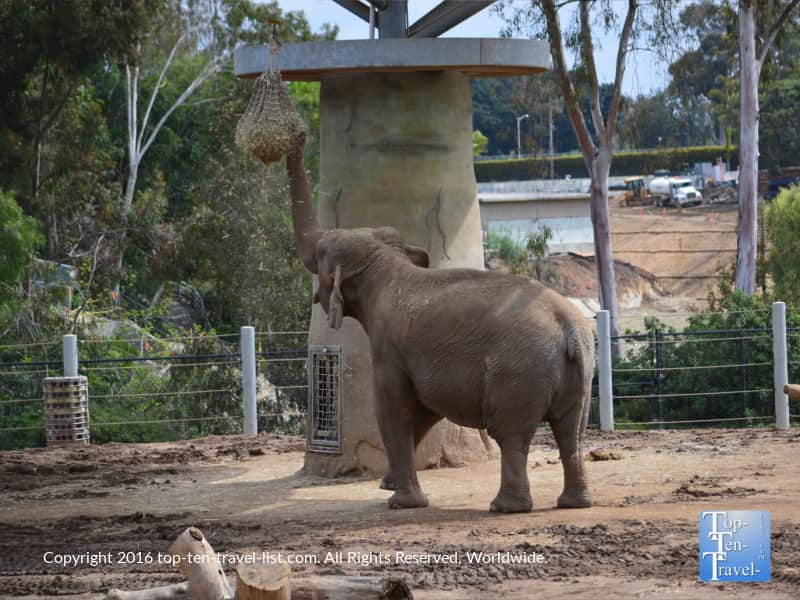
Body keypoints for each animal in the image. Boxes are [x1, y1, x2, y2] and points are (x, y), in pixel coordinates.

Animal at [285, 137, 595, 513]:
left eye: (320, 257)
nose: (296, 135)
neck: (386, 264)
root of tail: (569, 327)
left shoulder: (389, 346)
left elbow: (394, 409)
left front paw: (402, 502)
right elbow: (427, 408)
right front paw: (389, 485)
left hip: (519, 372)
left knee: (511, 434)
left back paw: (505, 507)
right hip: (578, 374)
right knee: (571, 433)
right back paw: (574, 503)